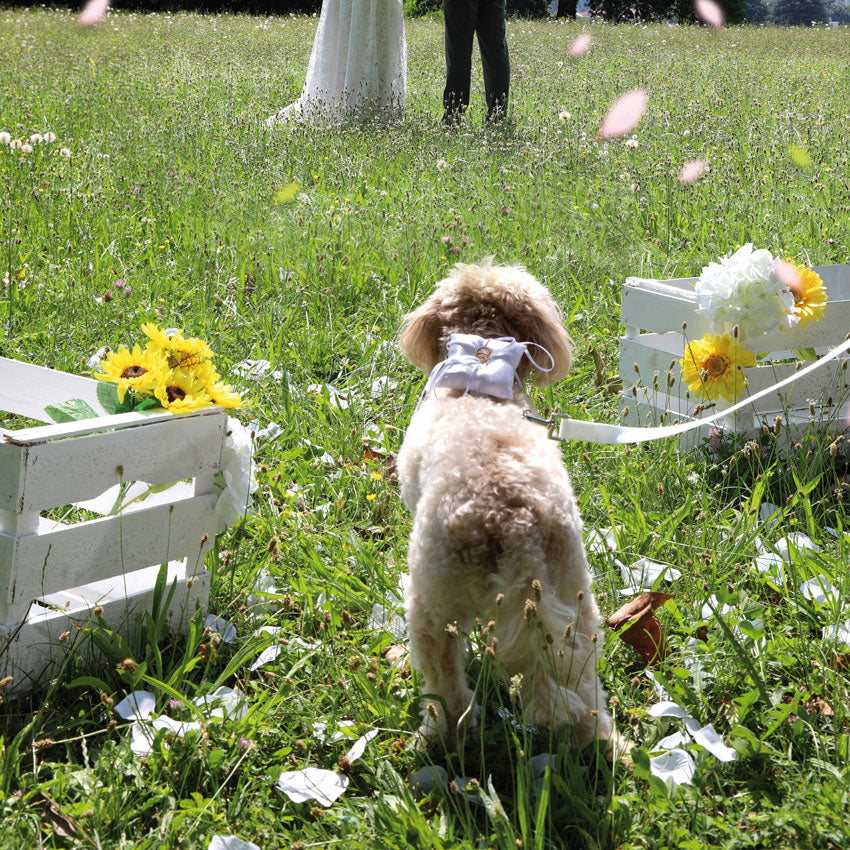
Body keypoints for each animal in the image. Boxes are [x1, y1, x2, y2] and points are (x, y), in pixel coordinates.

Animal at [398, 262, 624, 752]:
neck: (480, 376)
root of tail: (511, 518)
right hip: (573, 597)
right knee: (581, 685)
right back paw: (606, 746)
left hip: (432, 601)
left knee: (447, 686)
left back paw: (439, 737)